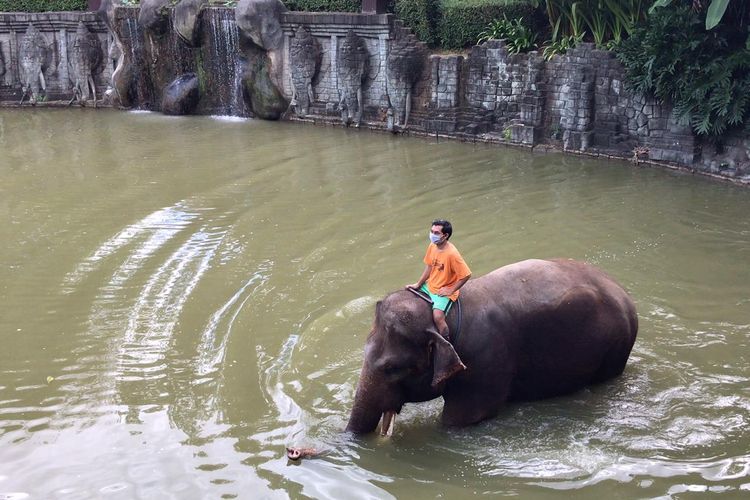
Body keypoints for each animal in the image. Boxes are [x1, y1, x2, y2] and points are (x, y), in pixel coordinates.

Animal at [348, 260, 640, 436]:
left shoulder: (484, 361)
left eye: (391, 368)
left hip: (615, 348)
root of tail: (624, 293)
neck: (446, 314)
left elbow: (458, 421)